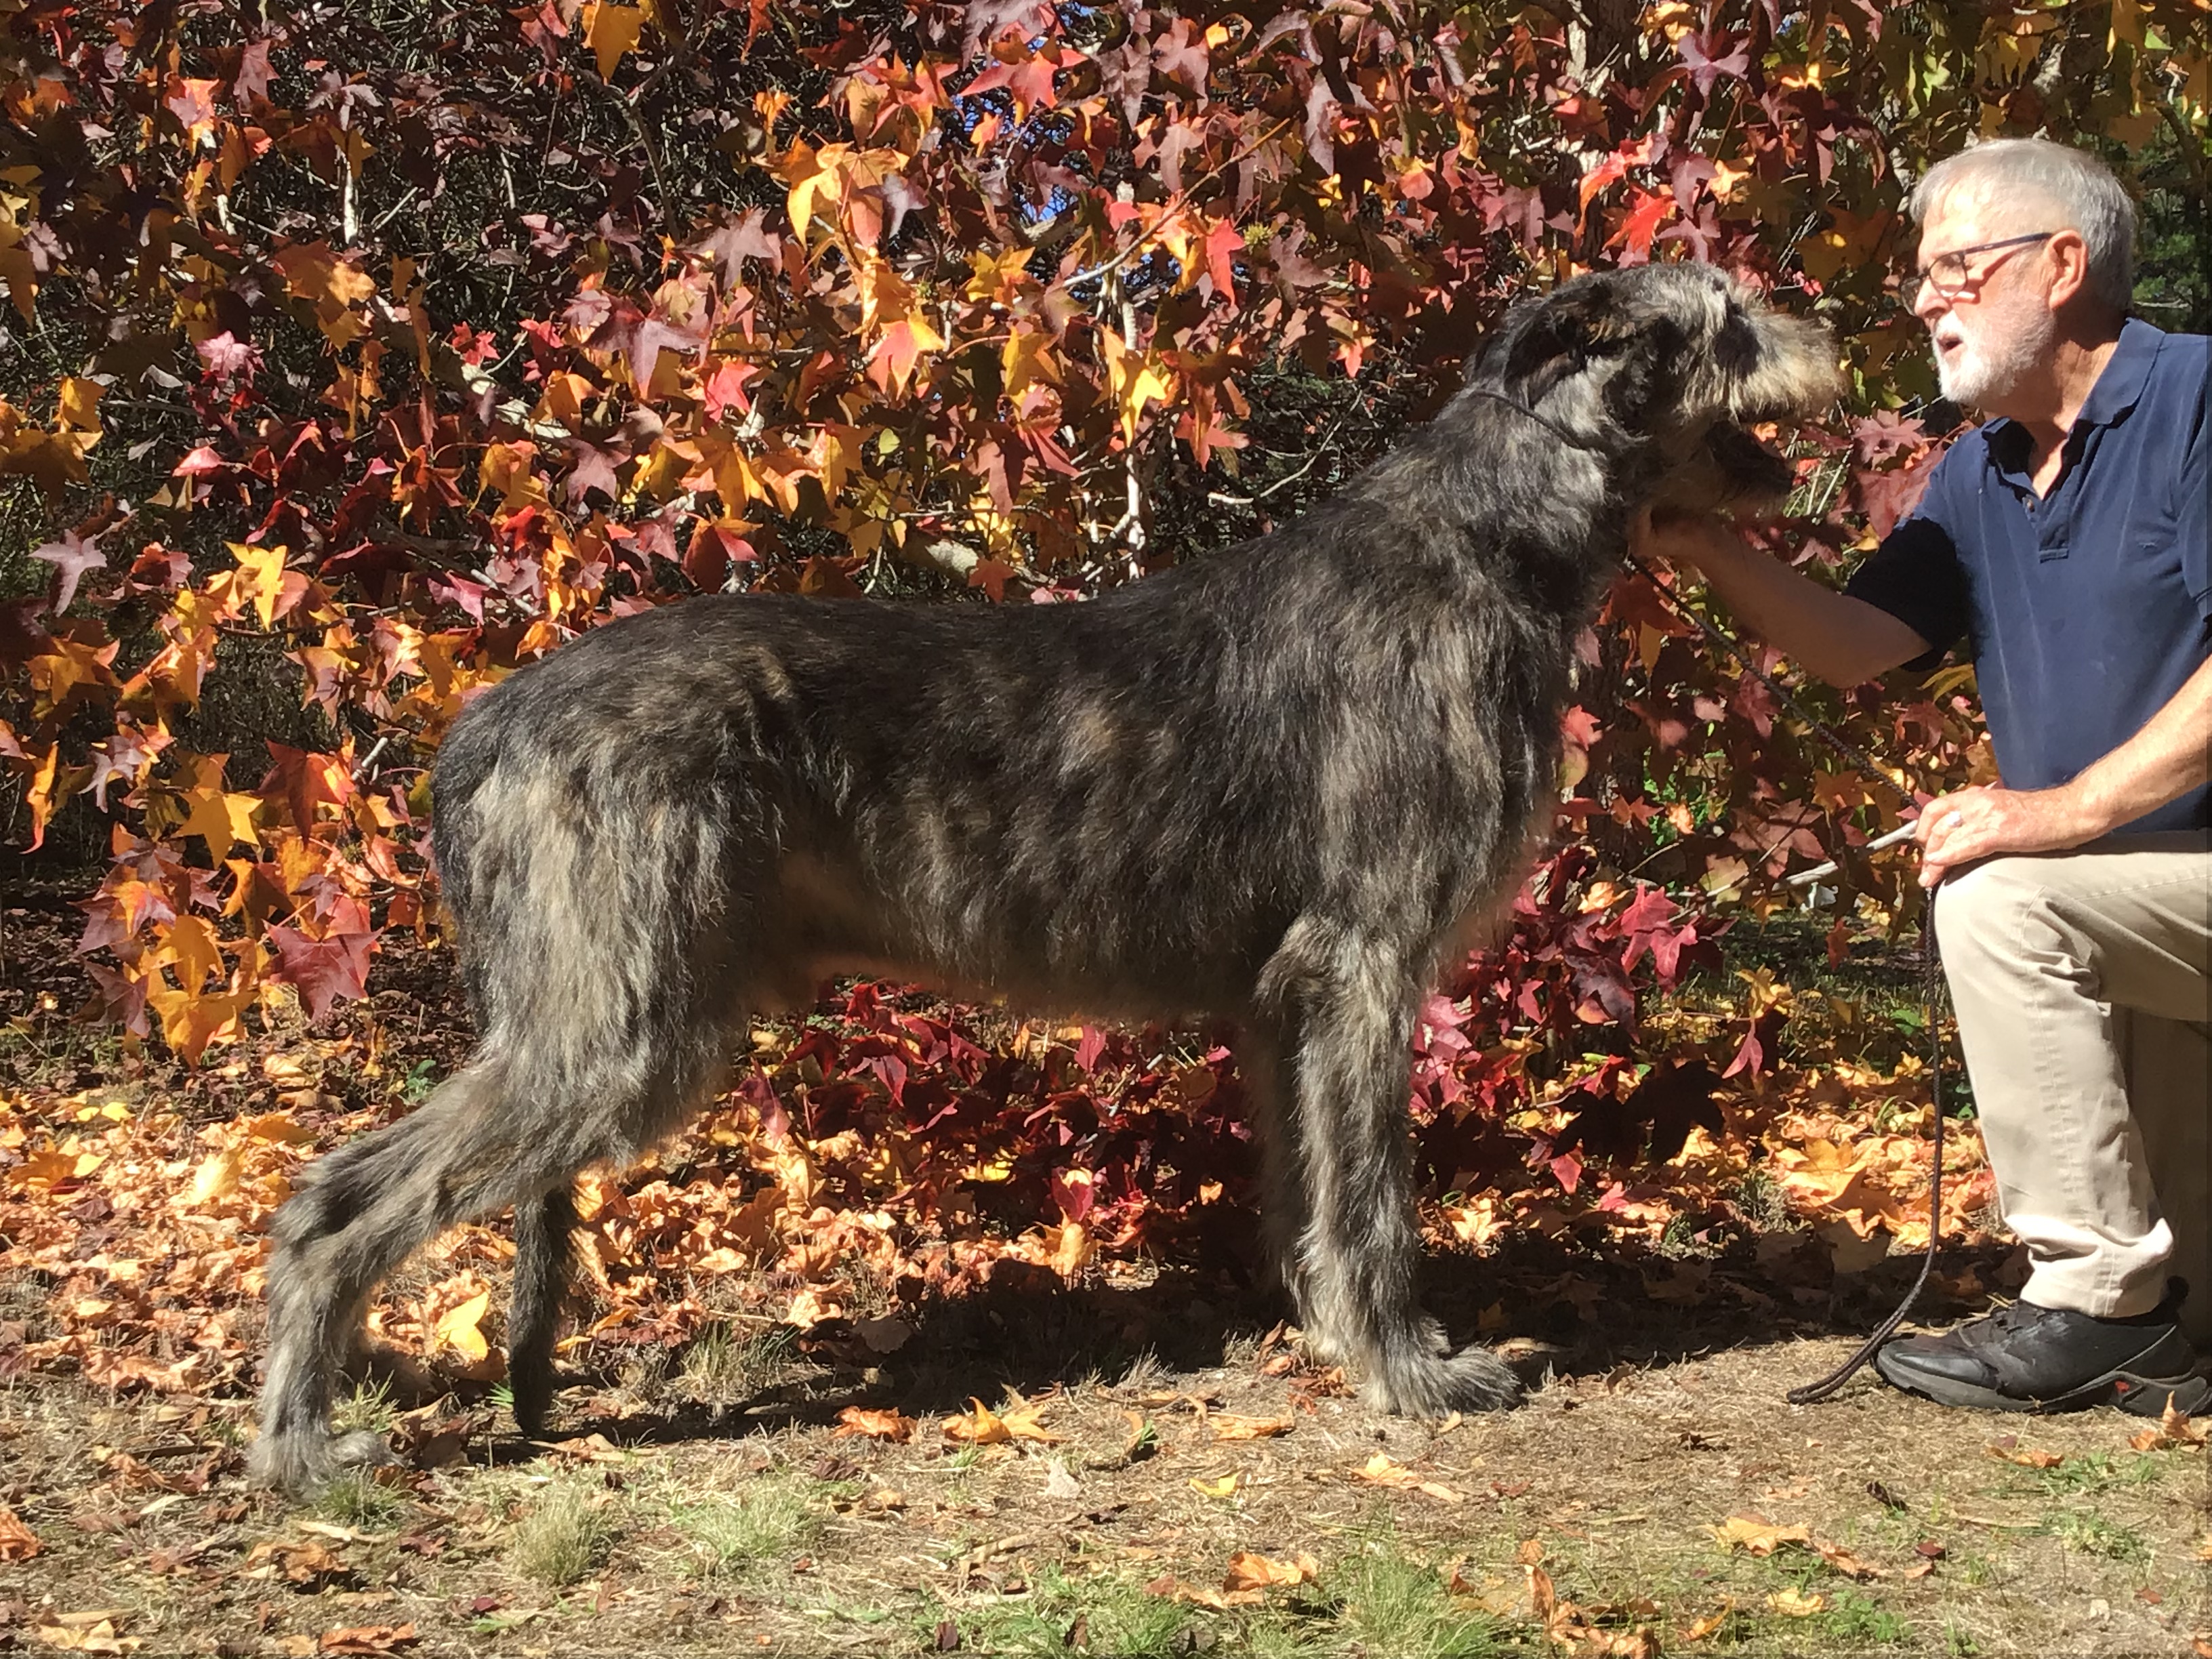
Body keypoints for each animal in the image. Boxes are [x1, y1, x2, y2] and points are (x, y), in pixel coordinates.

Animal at [246, 266, 1831, 1504]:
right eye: (1727, 314)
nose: (1844, 341)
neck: (1491, 536)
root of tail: (484, 724)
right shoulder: (1366, 964)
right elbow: (1376, 1199)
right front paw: (1412, 1371)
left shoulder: (1283, 1002)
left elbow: (1308, 1194)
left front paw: (1329, 1339)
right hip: (615, 1026)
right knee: (333, 1199)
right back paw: (302, 1453)